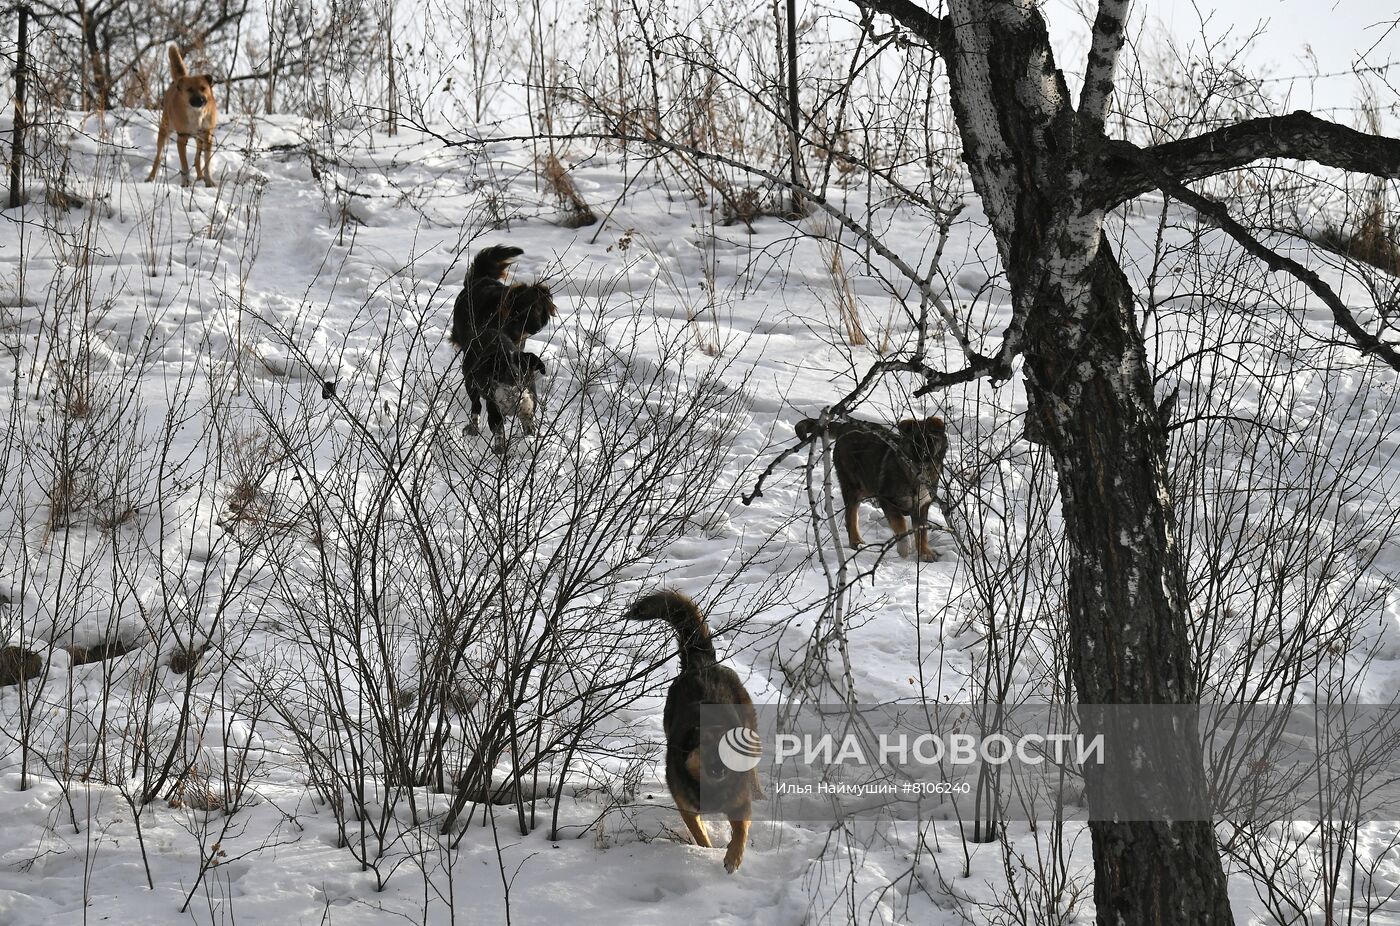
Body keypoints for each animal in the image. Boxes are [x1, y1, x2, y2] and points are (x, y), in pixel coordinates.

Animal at [146, 45, 217, 187]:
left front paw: (208, 180)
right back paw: (151, 177)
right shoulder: (182, 138)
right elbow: (184, 164)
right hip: (165, 129)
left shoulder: (207, 137)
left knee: (197, 157)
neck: (196, 115)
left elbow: (207, 162)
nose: (200, 100)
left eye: (203, 88)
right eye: (189, 90)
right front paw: (185, 182)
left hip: (199, 139)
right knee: (158, 156)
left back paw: (200, 176)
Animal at [630, 588, 761, 868]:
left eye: (727, 751)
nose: (720, 768)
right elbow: (699, 832)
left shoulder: (739, 804)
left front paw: (733, 856)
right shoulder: (687, 806)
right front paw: (706, 851)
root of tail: (701, 663)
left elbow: (741, 830)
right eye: (707, 748)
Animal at [800, 414, 952, 560]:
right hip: (853, 485)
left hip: (865, 484)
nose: (922, 459)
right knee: (851, 515)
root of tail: (846, 426)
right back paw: (856, 541)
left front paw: (925, 552)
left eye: (930, 440)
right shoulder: (886, 499)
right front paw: (904, 548)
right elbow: (900, 522)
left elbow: (922, 532)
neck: (914, 477)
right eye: (913, 441)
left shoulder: (922, 506)